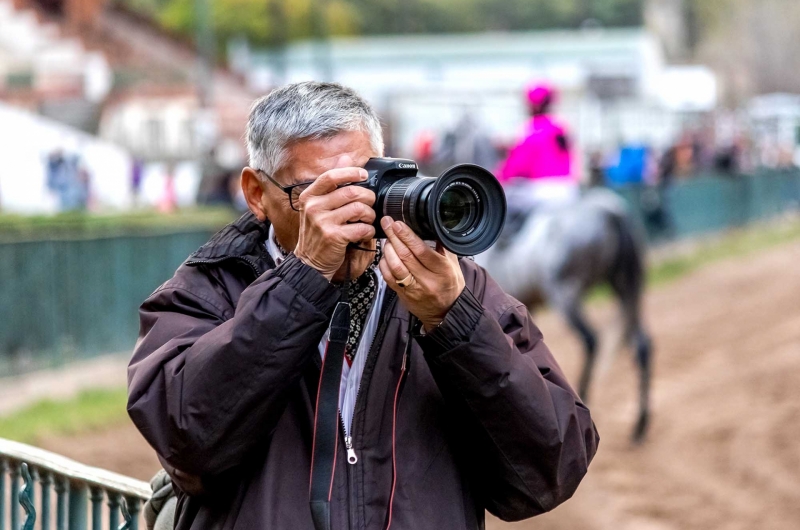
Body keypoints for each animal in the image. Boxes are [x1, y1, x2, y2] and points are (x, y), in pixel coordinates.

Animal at [476, 188, 648, 440]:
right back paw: (640, 423)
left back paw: (584, 394)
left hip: (566, 294)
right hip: (625, 285)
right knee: (641, 345)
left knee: (591, 340)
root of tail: (609, 211)